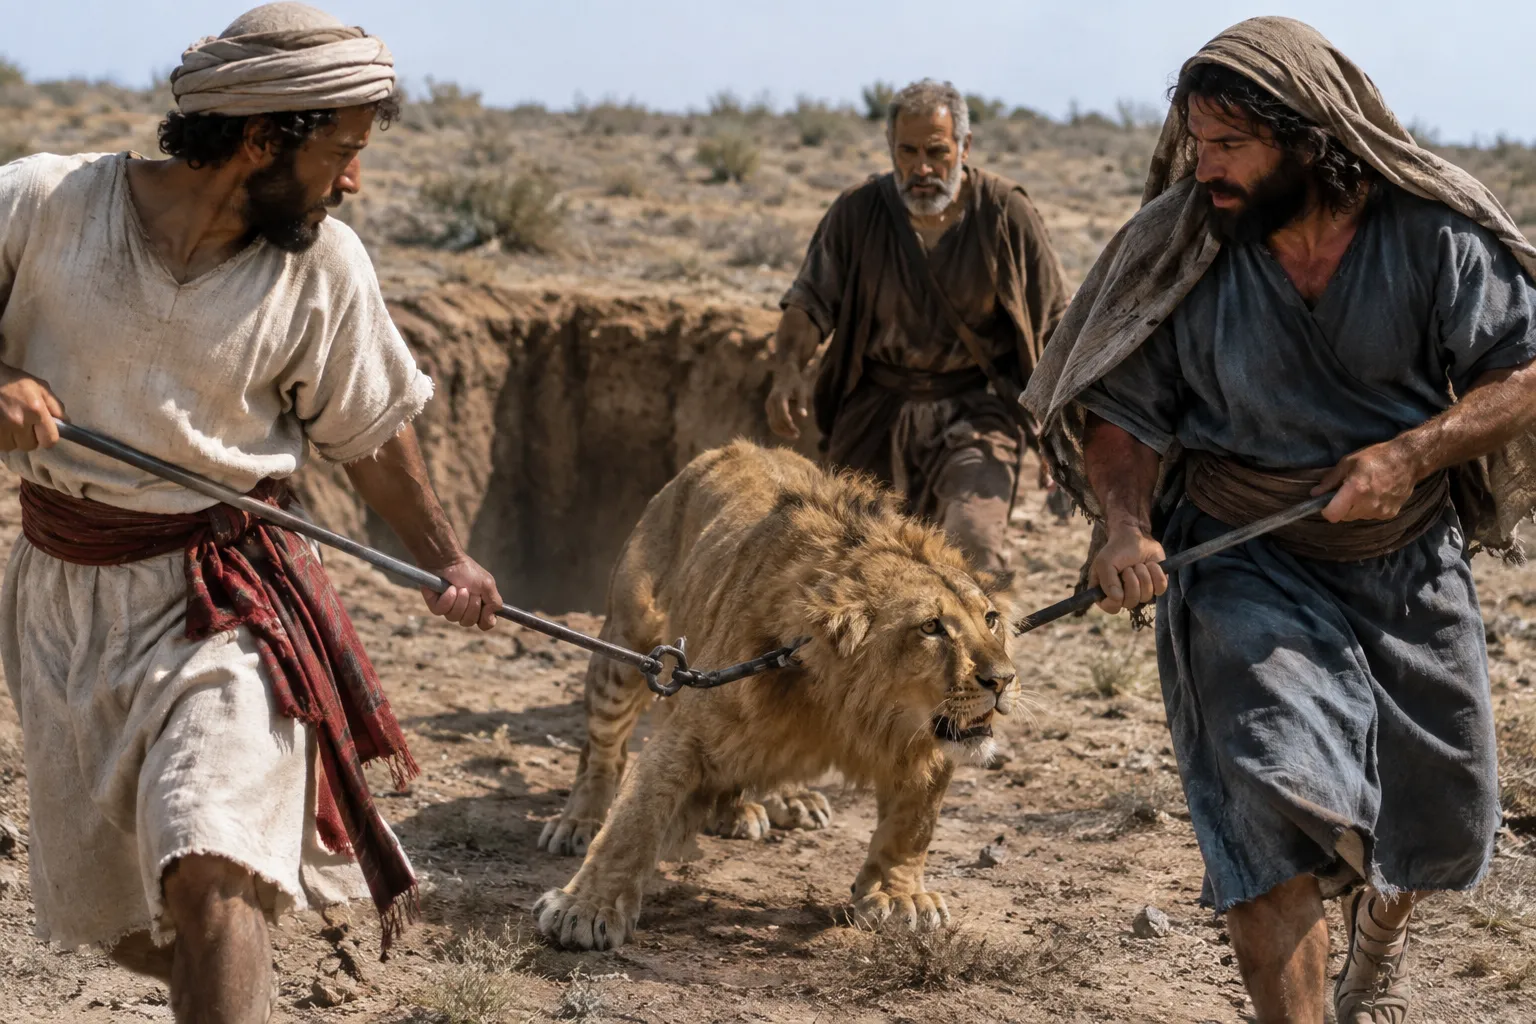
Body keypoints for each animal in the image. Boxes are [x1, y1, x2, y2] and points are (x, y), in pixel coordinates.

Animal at [533, 440, 1017, 951]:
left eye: (990, 620)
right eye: (930, 627)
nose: (1004, 679)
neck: (851, 709)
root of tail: (730, 447)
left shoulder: (931, 745)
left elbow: (913, 826)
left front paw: (898, 895)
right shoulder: (689, 726)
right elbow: (634, 821)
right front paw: (586, 908)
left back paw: (768, 804)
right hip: (628, 650)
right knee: (601, 751)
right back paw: (578, 822)